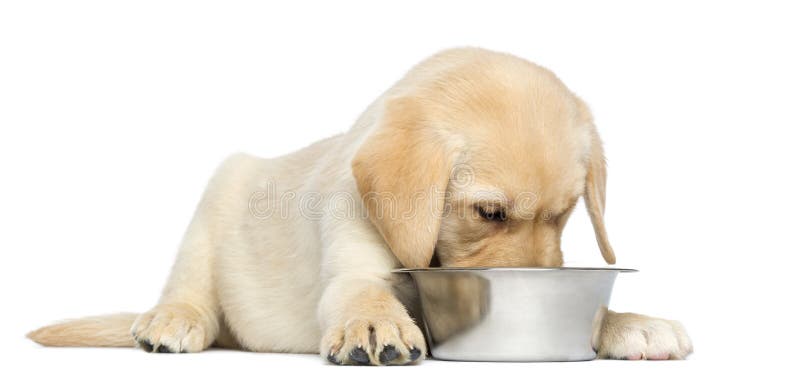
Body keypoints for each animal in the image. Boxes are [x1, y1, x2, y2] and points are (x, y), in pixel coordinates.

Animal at [28, 47, 692, 364]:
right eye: (489, 213)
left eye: (565, 214)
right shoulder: (350, 261)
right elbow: (360, 293)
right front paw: (375, 323)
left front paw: (628, 323)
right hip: (217, 197)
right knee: (191, 286)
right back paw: (173, 319)